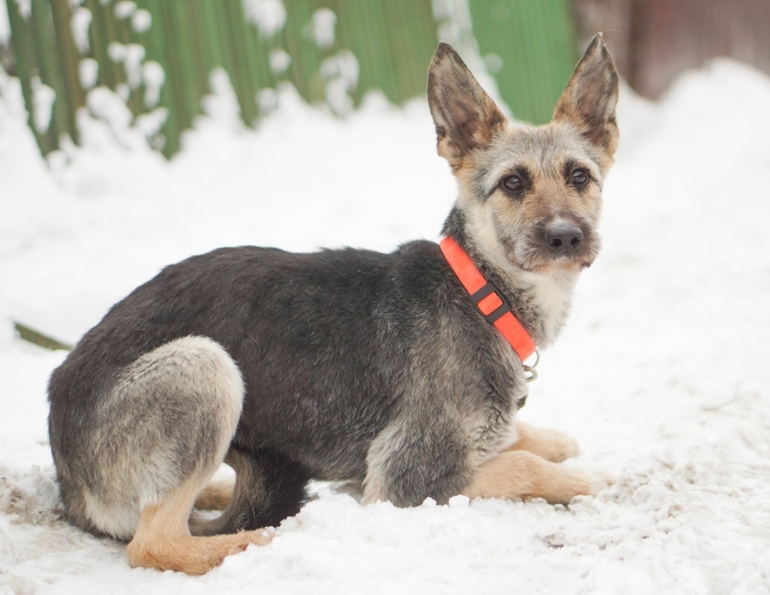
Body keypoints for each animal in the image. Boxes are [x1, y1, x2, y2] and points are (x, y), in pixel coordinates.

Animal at [48, 34, 619, 575]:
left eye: (579, 177)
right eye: (513, 183)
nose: (566, 237)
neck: (480, 291)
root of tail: (66, 473)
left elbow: (527, 439)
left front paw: (553, 443)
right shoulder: (403, 478)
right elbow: (525, 466)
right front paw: (591, 477)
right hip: (202, 365)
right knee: (154, 542)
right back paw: (261, 539)